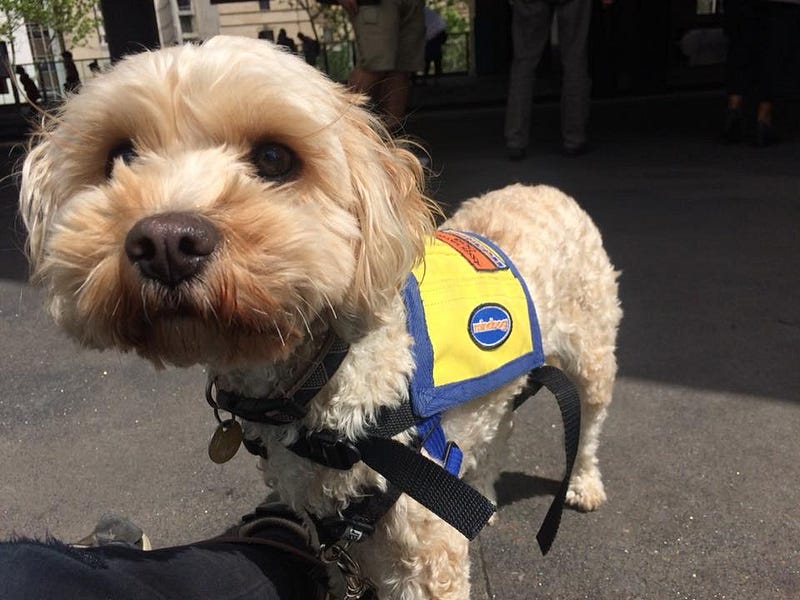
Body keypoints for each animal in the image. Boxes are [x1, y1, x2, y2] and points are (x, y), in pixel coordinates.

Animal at [17, 36, 620, 600]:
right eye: (117, 156)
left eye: (274, 158)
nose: (165, 242)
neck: (321, 374)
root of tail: (543, 187)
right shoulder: (327, 523)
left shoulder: (423, 551)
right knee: (497, 432)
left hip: (593, 355)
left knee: (588, 427)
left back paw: (584, 484)